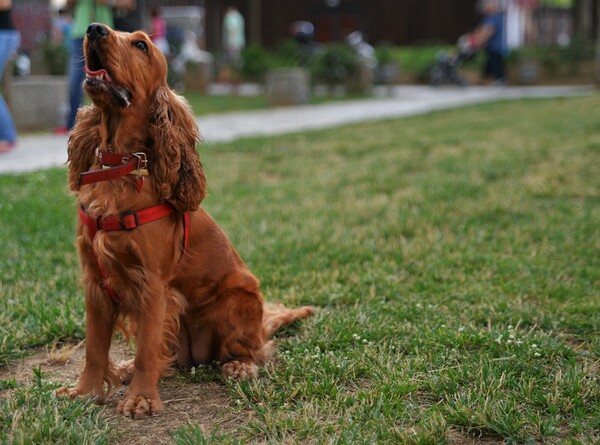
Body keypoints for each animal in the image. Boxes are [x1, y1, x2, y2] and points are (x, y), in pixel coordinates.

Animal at [57, 22, 314, 418]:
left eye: (141, 45)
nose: (94, 28)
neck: (121, 168)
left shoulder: (153, 286)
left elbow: (147, 350)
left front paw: (141, 399)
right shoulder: (96, 284)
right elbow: (94, 349)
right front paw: (84, 392)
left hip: (234, 302)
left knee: (254, 350)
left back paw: (239, 366)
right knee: (173, 357)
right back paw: (127, 367)